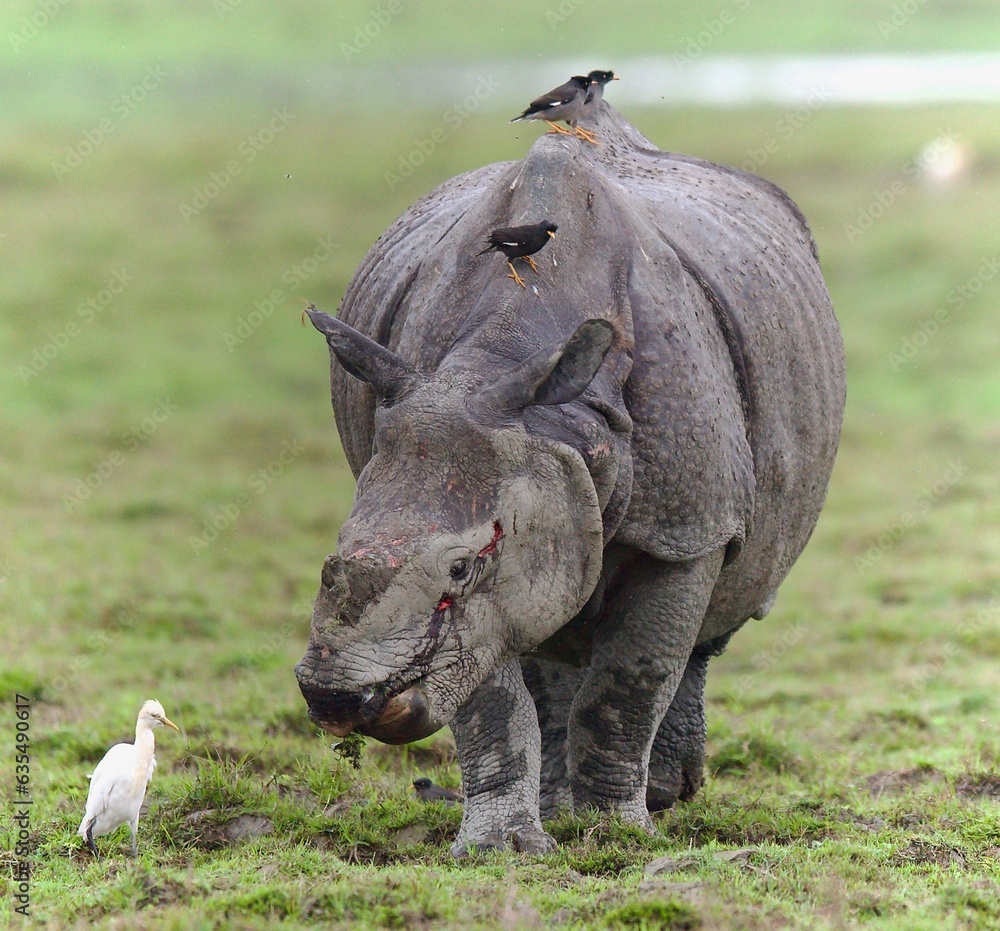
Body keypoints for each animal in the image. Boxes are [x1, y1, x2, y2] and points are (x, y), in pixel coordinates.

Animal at [295, 102, 845, 855]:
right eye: (330, 559)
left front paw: (619, 836)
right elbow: (493, 697)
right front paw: (503, 849)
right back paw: (563, 809)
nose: (335, 698)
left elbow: (631, 678)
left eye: (461, 567)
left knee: (710, 618)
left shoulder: (686, 526)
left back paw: (660, 797)